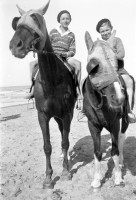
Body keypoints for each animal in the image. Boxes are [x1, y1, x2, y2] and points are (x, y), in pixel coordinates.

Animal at [9, 0, 77, 188]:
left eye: (35, 18)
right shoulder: (43, 115)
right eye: (18, 23)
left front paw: (65, 171)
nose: (15, 45)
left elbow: (65, 141)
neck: (51, 79)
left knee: (64, 134)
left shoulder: (66, 113)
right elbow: (47, 146)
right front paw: (48, 178)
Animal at [82, 32, 135, 188]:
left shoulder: (115, 124)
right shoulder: (93, 126)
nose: (119, 98)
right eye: (93, 66)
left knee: (121, 138)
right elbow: (97, 152)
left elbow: (115, 150)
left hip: (124, 121)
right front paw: (97, 178)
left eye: (118, 63)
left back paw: (121, 163)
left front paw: (117, 177)